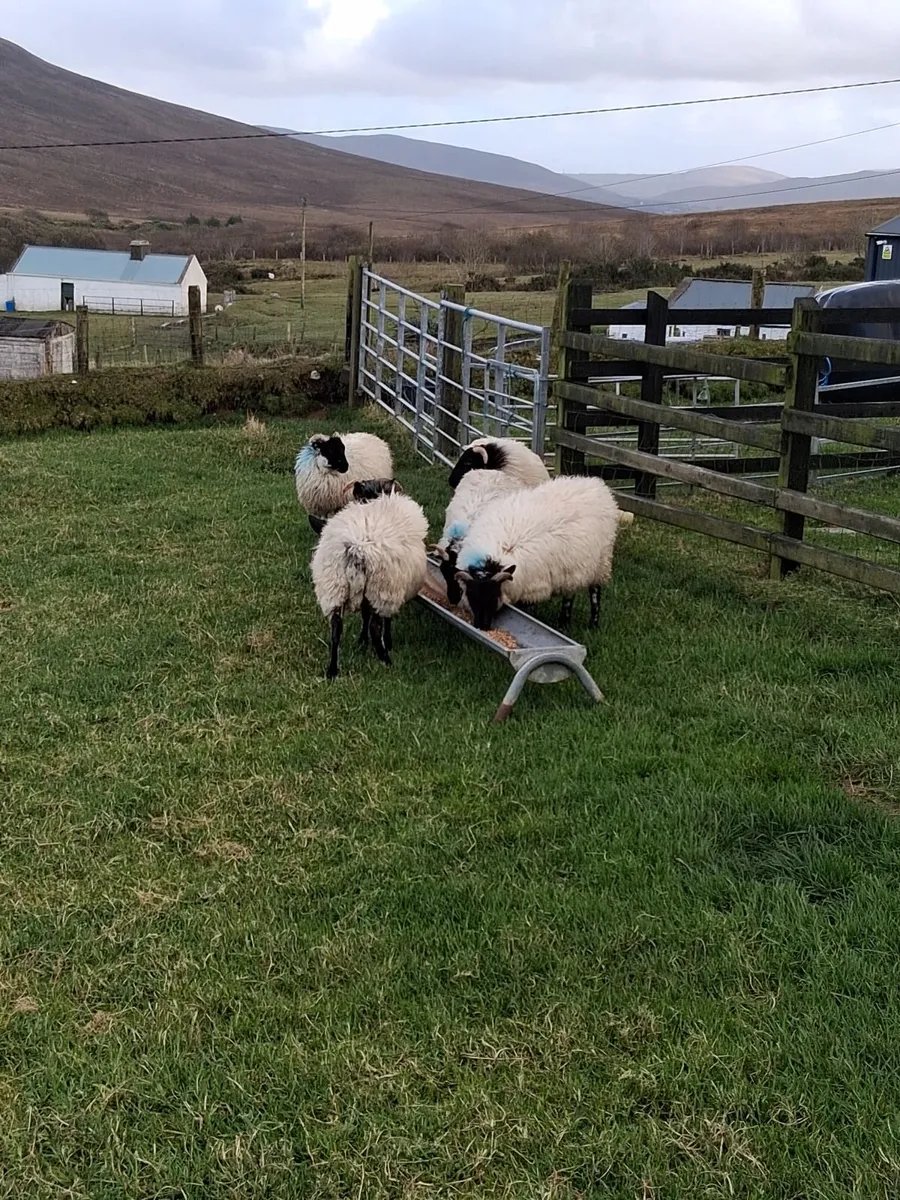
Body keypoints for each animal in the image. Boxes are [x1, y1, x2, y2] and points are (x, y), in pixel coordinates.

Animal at [311, 480, 428, 680]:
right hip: (381, 588)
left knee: (336, 628)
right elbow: (385, 620)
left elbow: (364, 615)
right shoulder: (391, 589)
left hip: (334, 587)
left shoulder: (366, 594)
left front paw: (361, 640)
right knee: (375, 626)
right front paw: (387, 642)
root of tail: (356, 549)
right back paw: (385, 658)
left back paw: (332, 669)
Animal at [454, 476, 627, 631]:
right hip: (573, 567)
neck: (496, 556)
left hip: (602, 561)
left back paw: (589, 625)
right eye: (471, 595)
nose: (481, 627)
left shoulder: (531, 587)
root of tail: (596, 484)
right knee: (570, 594)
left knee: (592, 593)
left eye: (494, 596)